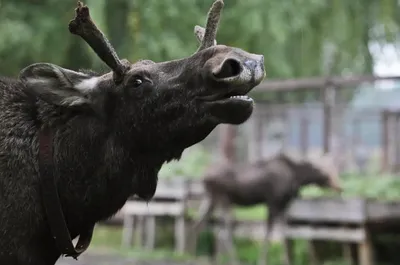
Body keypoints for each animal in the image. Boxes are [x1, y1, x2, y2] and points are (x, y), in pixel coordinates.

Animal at [191, 152, 340, 264]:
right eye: (324, 173)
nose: (339, 187)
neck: (296, 176)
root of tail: (203, 177)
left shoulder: (281, 205)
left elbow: (283, 234)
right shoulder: (273, 202)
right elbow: (272, 234)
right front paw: (266, 260)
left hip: (210, 199)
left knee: (198, 225)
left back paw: (192, 255)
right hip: (223, 199)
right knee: (224, 231)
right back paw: (234, 260)